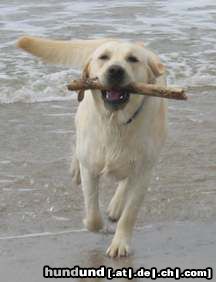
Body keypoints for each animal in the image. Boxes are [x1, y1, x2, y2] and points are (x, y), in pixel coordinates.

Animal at [17, 37, 168, 258]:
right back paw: (75, 169)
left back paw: (116, 206)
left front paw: (120, 243)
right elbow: (92, 213)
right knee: (78, 145)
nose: (115, 70)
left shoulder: (144, 171)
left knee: (125, 181)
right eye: (103, 57)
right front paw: (100, 226)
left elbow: (129, 213)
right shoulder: (90, 167)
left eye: (132, 59)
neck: (115, 123)